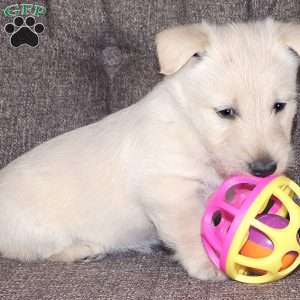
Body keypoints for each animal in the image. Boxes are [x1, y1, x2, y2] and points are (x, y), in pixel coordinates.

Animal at [0, 19, 300, 282]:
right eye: (225, 112)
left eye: (279, 106)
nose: (265, 170)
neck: (192, 129)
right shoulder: (170, 191)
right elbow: (191, 228)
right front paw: (206, 263)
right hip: (36, 230)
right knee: (38, 251)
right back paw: (83, 250)